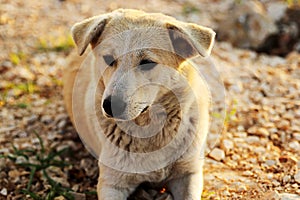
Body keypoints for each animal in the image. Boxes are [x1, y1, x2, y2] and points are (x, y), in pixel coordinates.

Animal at [63, 8, 214, 199]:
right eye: (108, 58)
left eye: (147, 62)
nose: (110, 106)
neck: (151, 131)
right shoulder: (112, 183)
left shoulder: (188, 173)